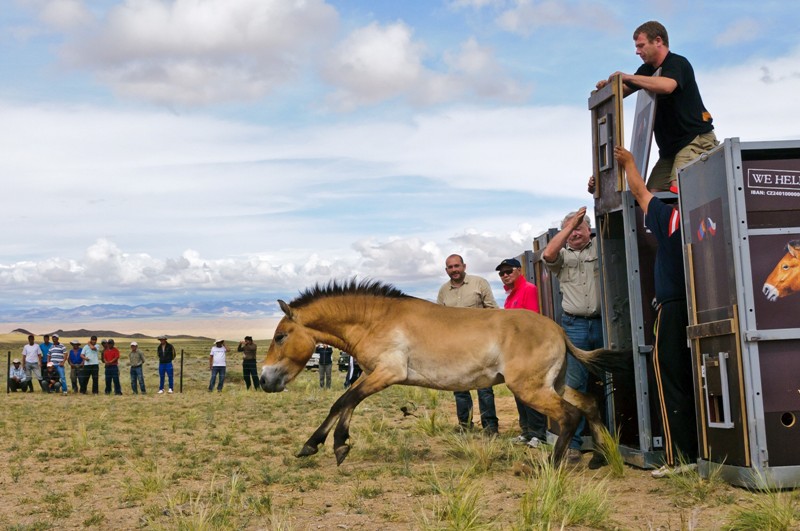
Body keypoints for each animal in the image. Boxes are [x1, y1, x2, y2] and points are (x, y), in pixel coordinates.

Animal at [262, 280, 632, 468]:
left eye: (280, 336)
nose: (265, 380)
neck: (376, 319)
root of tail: (558, 330)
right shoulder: (371, 374)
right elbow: (344, 403)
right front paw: (326, 445)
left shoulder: (386, 373)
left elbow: (345, 400)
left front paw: (328, 445)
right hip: (552, 384)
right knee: (588, 404)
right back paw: (603, 456)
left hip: (530, 389)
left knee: (569, 415)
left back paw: (552, 466)